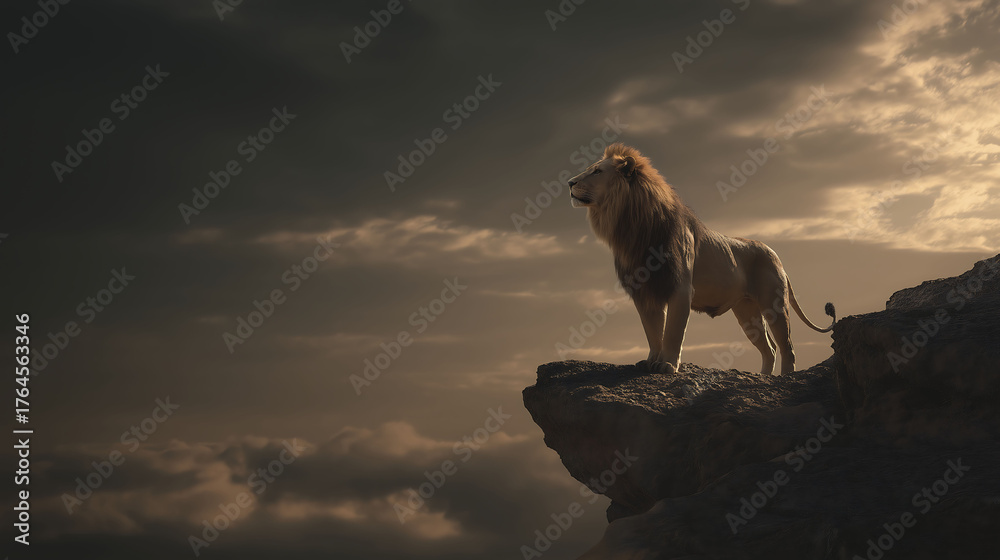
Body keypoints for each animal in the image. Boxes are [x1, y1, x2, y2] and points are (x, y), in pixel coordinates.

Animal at [568, 143, 835, 375]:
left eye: (597, 171)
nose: (569, 182)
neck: (632, 226)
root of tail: (776, 256)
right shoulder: (645, 292)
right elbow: (653, 332)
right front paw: (651, 361)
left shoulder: (680, 287)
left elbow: (673, 332)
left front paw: (667, 365)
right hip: (746, 312)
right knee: (768, 349)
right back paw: (764, 377)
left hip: (774, 304)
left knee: (787, 346)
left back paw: (785, 377)